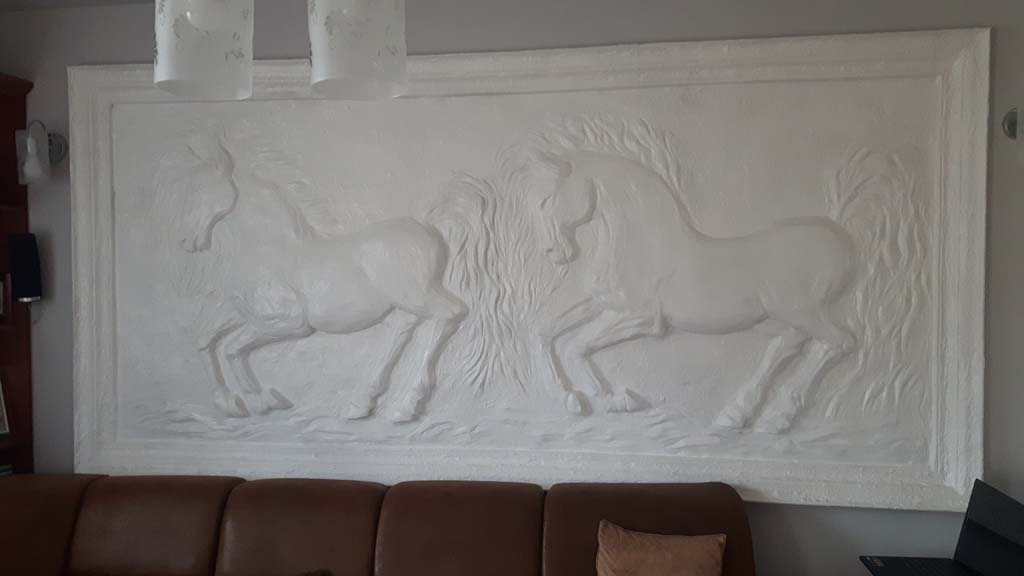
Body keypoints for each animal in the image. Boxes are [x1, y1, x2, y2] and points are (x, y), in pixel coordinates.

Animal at [156, 129, 467, 422]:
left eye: (200, 191)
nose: (187, 242)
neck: (270, 248)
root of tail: (431, 231)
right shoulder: (242, 310)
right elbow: (204, 338)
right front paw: (228, 403)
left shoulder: (288, 322)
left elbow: (232, 348)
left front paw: (262, 400)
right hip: (405, 302)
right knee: (404, 329)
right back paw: (363, 404)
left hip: (417, 296)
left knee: (450, 314)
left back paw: (404, 406)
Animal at [521, 117, 875, 433]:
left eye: (547, 199)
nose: (554, 252)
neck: (641, 245)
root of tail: (843, 243)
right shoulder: (604, 303)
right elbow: (544, 330)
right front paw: (572, 398)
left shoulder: (639, 317)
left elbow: (575, 346)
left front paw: (613, 399)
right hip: (783, 316)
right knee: (786, 347)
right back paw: (738, 414)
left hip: (798, 309)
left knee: (839, 342)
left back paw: (776, 417)